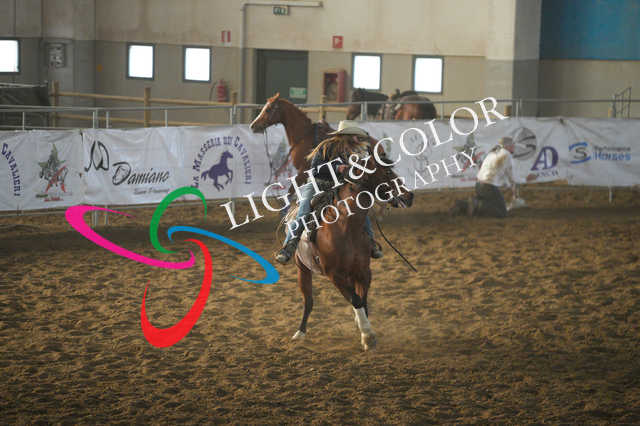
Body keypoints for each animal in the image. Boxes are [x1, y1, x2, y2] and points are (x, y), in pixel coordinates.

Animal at [287, 149, 415, 351]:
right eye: (387, 172)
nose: (410, 196)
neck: (345, 227)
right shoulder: (334, 275)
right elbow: (356, 300)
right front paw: (368, 335)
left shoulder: (363, 271)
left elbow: (362, 300)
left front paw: (363, 329)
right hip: (302, 267)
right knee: (308, 301)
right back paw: (300, 332)